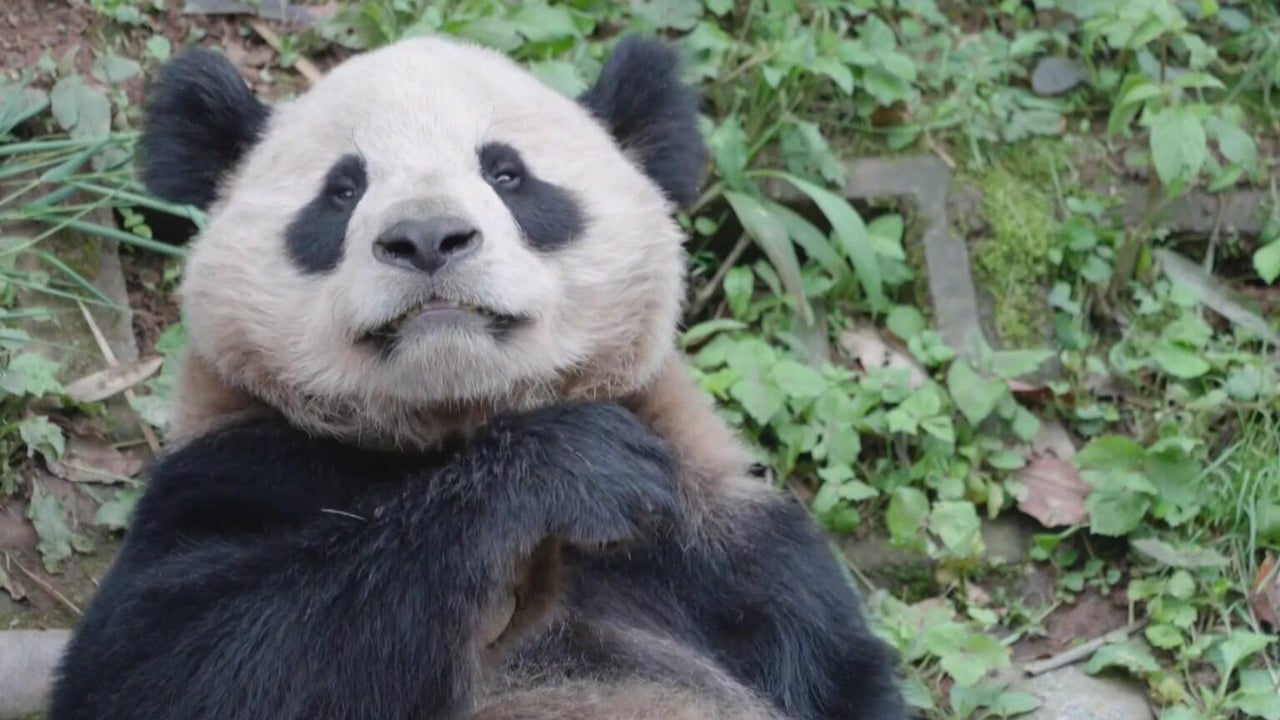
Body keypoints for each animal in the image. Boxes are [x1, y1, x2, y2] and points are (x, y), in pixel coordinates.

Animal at [48, 34, 908, 720]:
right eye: (342, 189)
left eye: (507, 174)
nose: (428, 238)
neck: (453, 420)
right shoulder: (235, 468)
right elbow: (172, 666)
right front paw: (567, 467)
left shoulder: (722, 533)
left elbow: (834, 667)